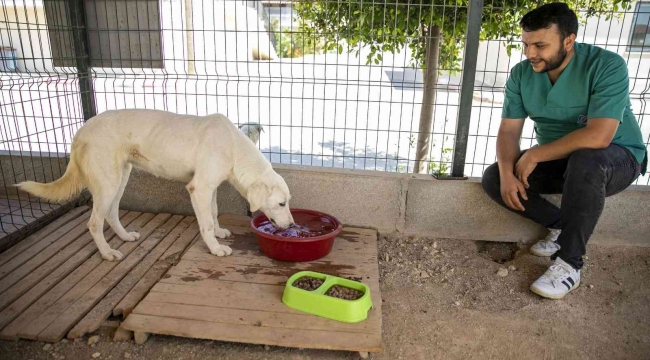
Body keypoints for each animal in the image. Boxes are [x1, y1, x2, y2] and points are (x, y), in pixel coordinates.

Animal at [15, 109, 294, 262]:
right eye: (281, 203)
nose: (292, 226)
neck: (233, 147)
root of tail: (81, 129)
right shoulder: (199, 189)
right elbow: (204, 223)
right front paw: (215, 247)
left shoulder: (210, 186)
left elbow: (213, 213)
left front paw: (218, 231)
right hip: (108, 182)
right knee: (94, 223)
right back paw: (107, 253)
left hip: (121, 178)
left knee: (111, 213)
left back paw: (125, 237)